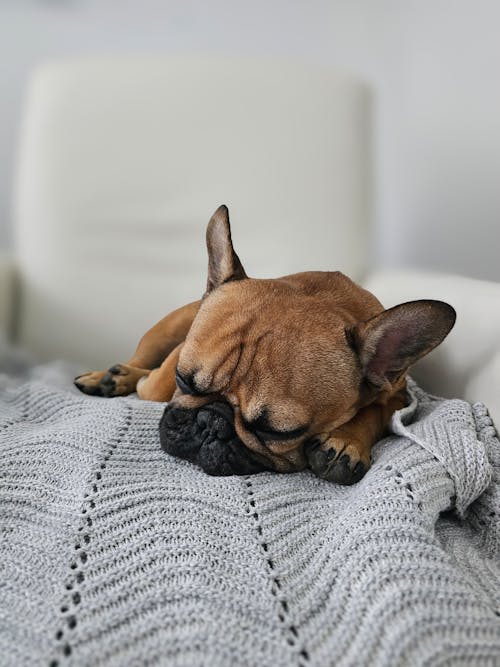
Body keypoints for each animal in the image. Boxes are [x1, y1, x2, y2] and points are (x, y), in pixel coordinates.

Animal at [75, 206, 458, 482]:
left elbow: (377, 412)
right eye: (185, 380)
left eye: (276, 431)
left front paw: (346, 442)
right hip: (167, 333)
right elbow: (152, 383)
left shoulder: (396, 393)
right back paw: (112, 376)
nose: (209, 421)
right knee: (145, 371)